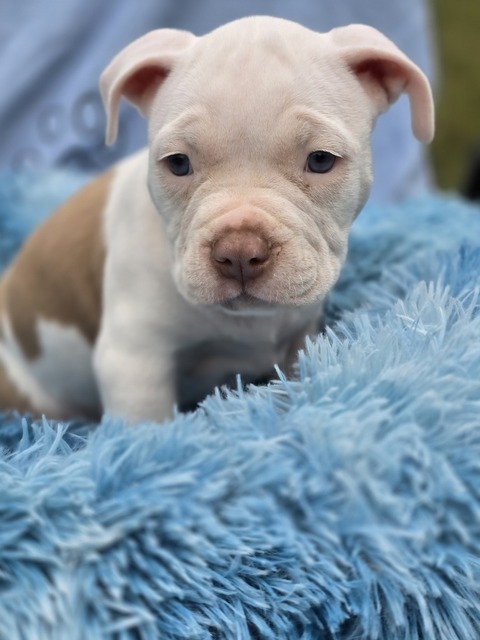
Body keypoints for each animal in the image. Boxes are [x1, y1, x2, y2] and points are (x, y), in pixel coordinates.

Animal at [0, 15, 436, 422]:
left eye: (320, 160)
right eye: (178, 163)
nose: (239, 252)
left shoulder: (299, 336)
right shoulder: (133, 358)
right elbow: (144, 425)